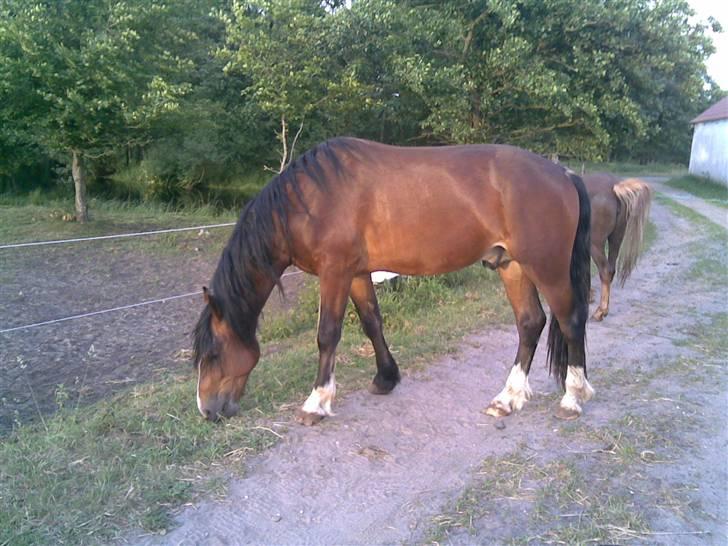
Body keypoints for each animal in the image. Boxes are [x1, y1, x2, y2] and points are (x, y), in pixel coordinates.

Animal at [192, 137, 592, 424]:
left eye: (212, 354)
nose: (207, 410)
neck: (309, 201)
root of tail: (563, 174)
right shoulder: (356, 272)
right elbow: (371, 322)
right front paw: (386, 377)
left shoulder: (335, 271)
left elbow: (327, 334)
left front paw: (316, 402)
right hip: (511, 265)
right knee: (530, 322)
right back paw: (507, 399)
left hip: (547, 266)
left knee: (570, 321)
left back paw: (573, 397)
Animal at [584, 173, 652, 318]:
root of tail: (614, 188)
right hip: (616, 239)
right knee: (611, 270)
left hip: (595, 243)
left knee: (605, 271)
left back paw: (601, 311)